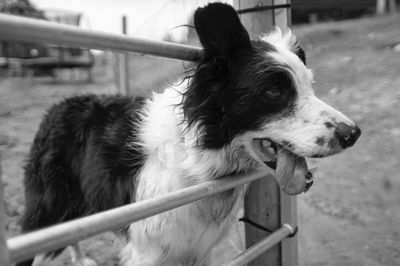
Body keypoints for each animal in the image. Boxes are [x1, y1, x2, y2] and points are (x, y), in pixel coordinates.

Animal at [17, 2, 360, 266]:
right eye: (274, 91)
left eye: (310, 87)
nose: (353, 134)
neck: (196, 160)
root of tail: (59, 105)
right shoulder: (147, 253)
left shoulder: (197, 251)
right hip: (47, 206)